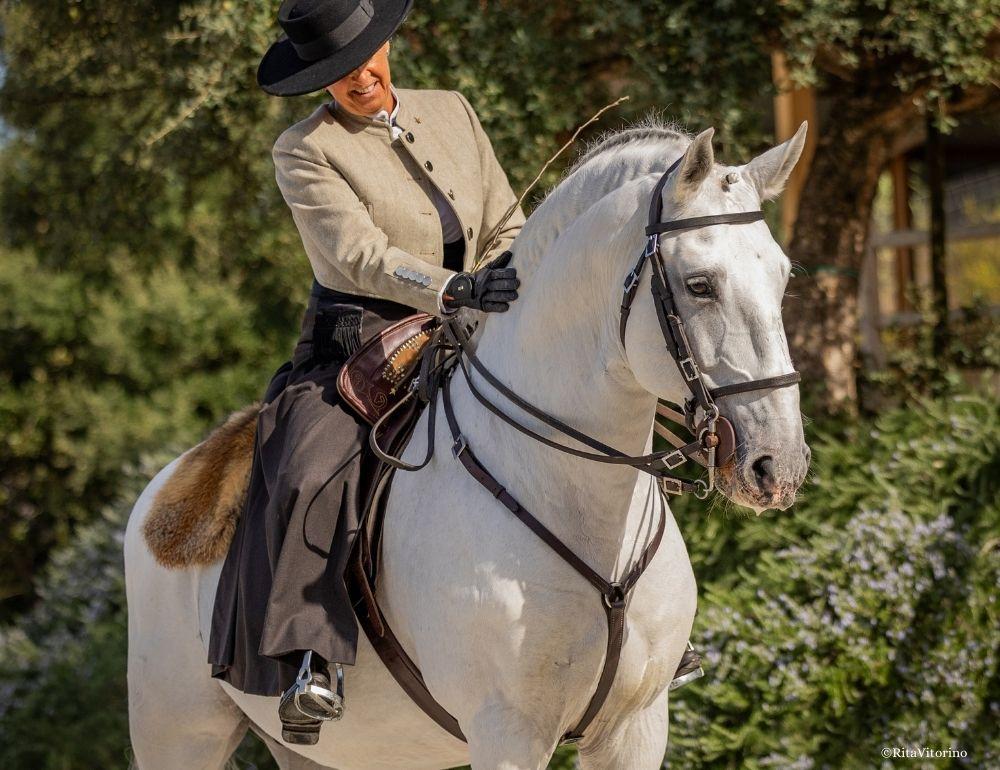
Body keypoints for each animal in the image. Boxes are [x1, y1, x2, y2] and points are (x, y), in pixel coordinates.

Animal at [125, 120, 812, 768]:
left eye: (782, 278)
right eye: (700, 285)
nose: (776, 464)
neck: (575, 498)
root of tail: (173, 486)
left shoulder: (635, 731)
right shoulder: (507, 731)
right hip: (179, 732)